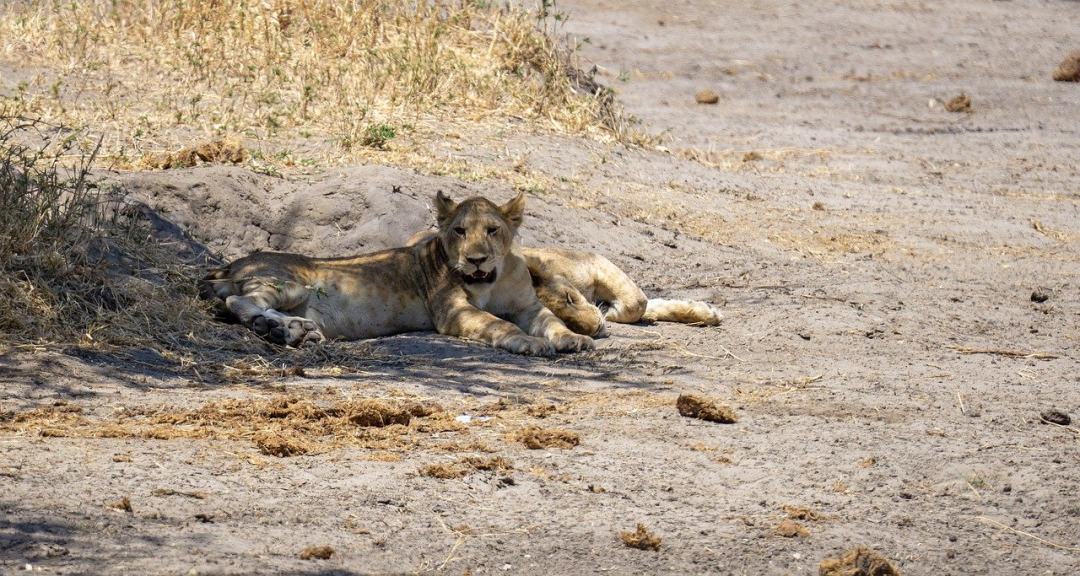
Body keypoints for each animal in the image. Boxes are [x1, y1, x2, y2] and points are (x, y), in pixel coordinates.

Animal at [198, 191, 596, 354]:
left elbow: (551, 320)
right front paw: (529, 343)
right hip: (291, 282)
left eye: (492, 230)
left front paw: (572, 339)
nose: (476, 260)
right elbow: (499, 324)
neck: (491, 280)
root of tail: (230, 263)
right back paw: (277, 328)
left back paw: (294, 331)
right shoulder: (453, 312)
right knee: (239, 300)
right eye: (459, 231)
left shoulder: (528, 305)